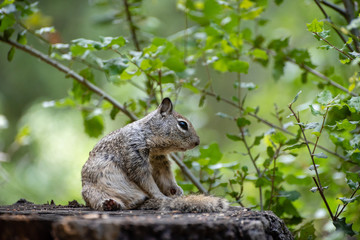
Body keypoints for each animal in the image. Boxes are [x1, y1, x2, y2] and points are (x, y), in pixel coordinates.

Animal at [81, 97, 228, 212]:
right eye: (182, 124)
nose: (197, 142)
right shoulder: (135, 158)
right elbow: (146, 182)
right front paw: (161, 196)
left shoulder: (160, 163)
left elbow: (165, 179)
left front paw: (176, 190)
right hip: (92, 192)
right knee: (102, 201)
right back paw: (110, 204)